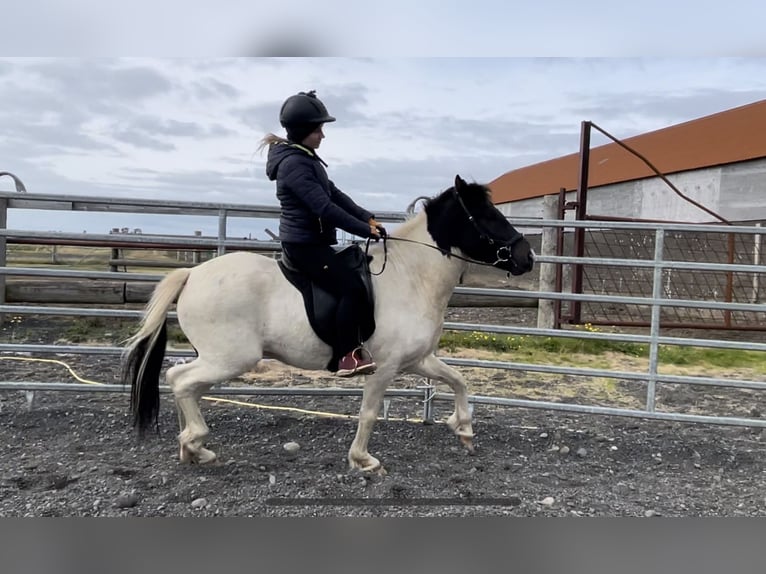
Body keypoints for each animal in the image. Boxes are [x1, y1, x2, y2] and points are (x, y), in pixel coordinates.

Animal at [123, 174, 536, 472]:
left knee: (180, 380)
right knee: (182, 381)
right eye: (487, 215)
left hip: (217, 358)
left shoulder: (418, 360)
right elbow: (368, 413)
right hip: (230, 358)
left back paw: (193, 449)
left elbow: (458, 380)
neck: (411, 276)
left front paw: (464, 429)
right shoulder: (384, 367)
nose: (526, 256)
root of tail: (192, 274)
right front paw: (364, 461)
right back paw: (195, 443)